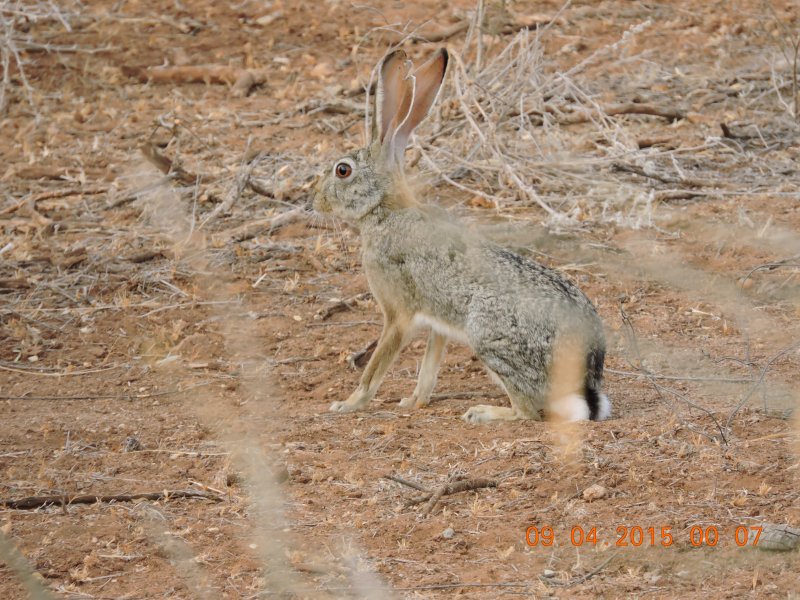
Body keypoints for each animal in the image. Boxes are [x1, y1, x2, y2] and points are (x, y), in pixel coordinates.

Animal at [313, 48, 611, 423]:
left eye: (342, 170)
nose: (314, 201)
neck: (385, 210)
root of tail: (586, 374)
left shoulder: (398, 314)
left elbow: (376, 367)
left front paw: (348, 404)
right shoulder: (437, 325)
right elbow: (428, 368)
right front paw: (413, 402)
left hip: (486, 333)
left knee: (528, 411)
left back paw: (483, 413)